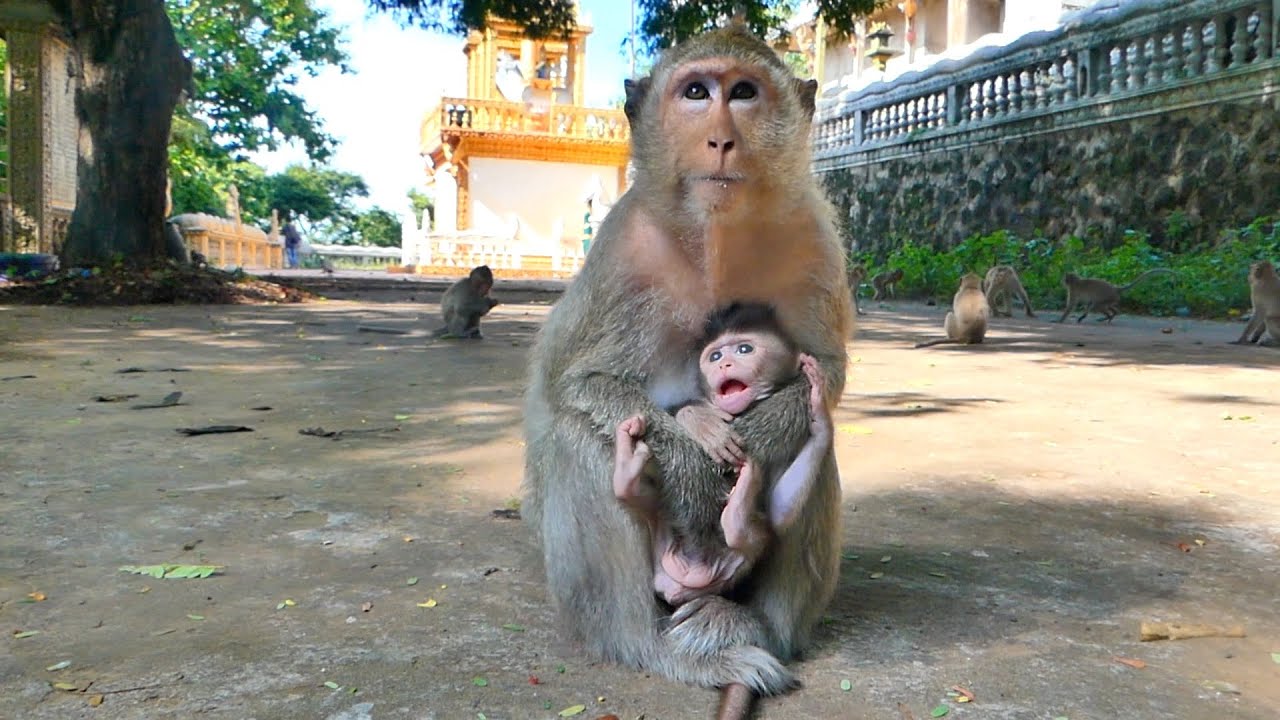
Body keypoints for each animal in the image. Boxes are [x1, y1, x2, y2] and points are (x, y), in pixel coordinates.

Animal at [613, 303, 833, 606]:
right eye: (715, 355)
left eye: (744, 349)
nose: (723, 364)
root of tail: (694, 574)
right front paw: (699, 420)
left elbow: (780, 512)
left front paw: (820, 417)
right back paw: (628, 466)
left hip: (736, 564)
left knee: (755, 534)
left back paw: (737, 514)